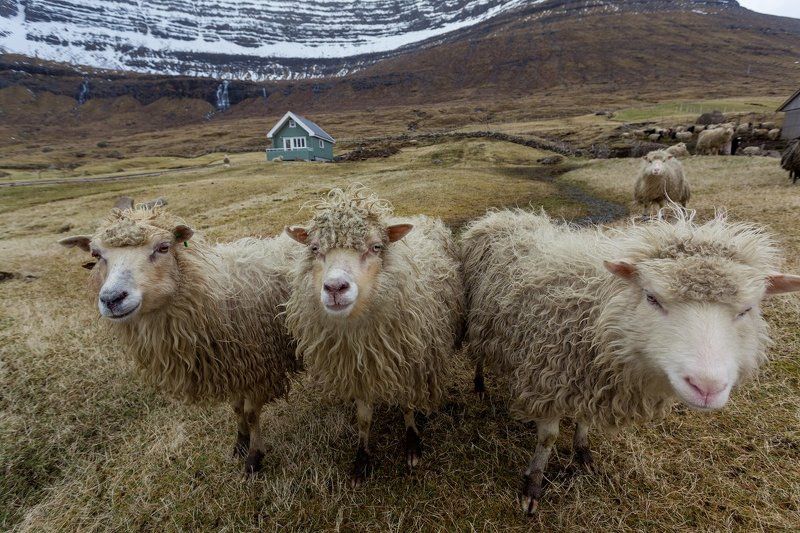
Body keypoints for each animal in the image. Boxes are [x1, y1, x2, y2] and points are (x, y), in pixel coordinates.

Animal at [59, 199, 297, 474]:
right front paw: (240, 443)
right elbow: (237, 408)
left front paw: (254, 457)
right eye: (96, 255)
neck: (216, 294)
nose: (111, 299)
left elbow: (250, 413)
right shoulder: (232, 367)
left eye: (163, 247)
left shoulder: (260, 366)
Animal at [283, 185, 464, 486]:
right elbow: (364, 418)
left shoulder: (409, 363)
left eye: (376, 246)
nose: (335, 287)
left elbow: (407, 406)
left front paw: (412, 444)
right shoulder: (359, 372)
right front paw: (362, 459)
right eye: (315, 248)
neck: (360, 334)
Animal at [461, 208, 800, 514]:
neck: (598, 313)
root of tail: (507, 214)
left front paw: (583, 454)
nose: (707, 387)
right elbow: (547, 439)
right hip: (477, 323)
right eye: (651, 297)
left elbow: (584, 423)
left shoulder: (592, 381)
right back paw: (479, 386)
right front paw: (532, 486)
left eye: (747, 309)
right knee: (478, 357)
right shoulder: (549, 377)